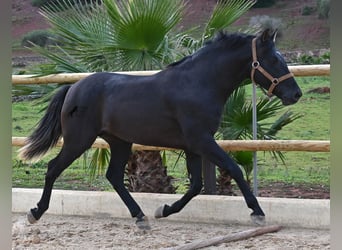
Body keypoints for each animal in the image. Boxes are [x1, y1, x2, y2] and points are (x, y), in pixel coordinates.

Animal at [18, 28, 302, 229]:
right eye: (273, 59)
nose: (295, 94)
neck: (199, 83)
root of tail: (73, 88)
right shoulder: (202, 141)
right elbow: (234, 169)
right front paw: (258, 213)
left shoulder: (193, 146)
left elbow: (196, 185)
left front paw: (163, 210)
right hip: (79, 140)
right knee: (53, 168)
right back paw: (35, 213)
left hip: (120, 142)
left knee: (114, 176)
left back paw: (141, 217)